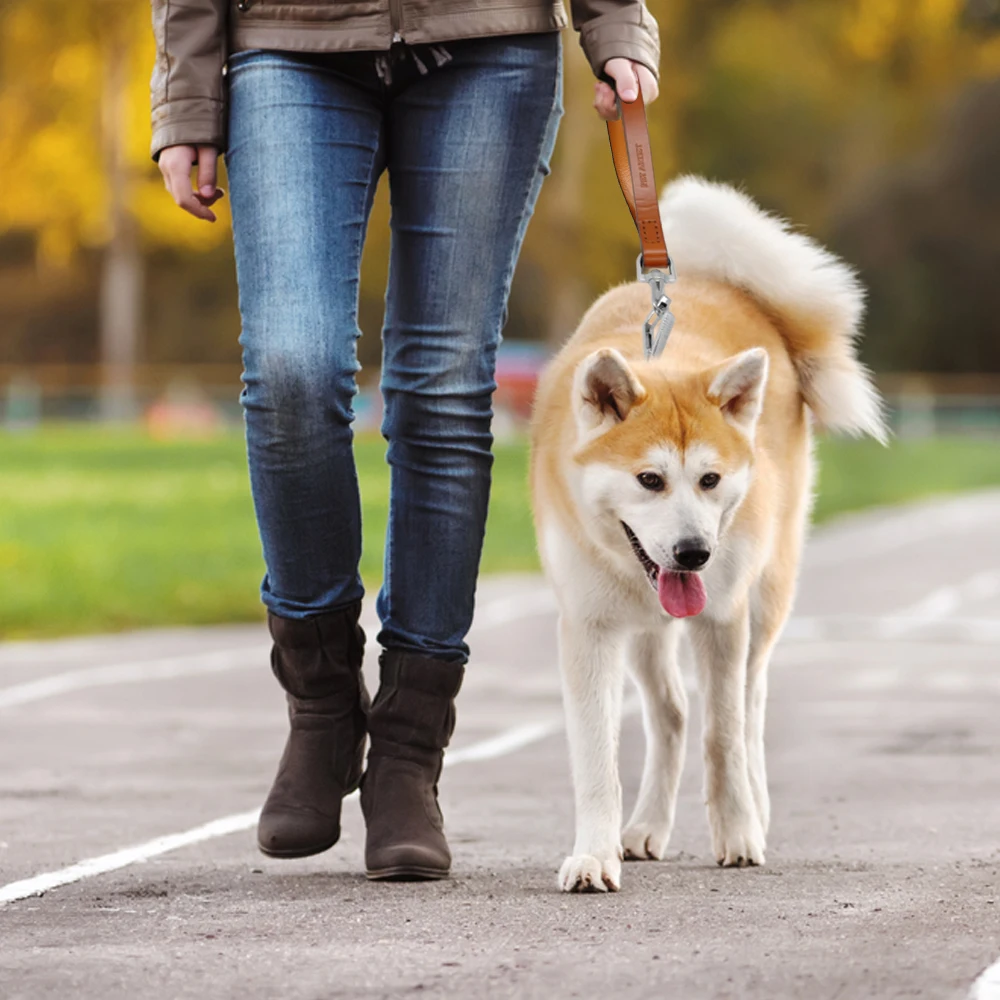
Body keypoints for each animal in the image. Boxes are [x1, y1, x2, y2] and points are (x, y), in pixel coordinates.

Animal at [528, 178, 888, 892]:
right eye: (649, 480)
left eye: (710, 479)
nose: (695, 552)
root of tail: (721, 281)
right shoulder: (589, 628)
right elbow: (596, 755)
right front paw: (595, 853)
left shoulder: (722, 618)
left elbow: (723, 735)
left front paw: (739, 833)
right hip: (646, 634)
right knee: (670, 712)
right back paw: (645, 827)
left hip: (765, 599)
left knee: (748, 704)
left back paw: (755, 803)